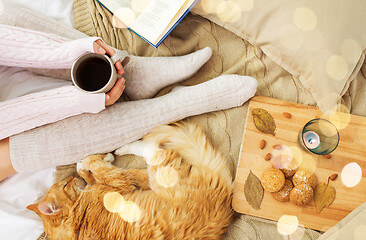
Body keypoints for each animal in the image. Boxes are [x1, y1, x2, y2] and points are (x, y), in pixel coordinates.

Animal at [28, 123, 234, 239]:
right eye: (64, 184)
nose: (71, 177)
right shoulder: (120, 182)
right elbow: (99, 168)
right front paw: (91, 161)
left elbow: (92, 173)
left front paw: (85, 164)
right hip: (162, 174)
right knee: (154, 150)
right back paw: (126, 146)